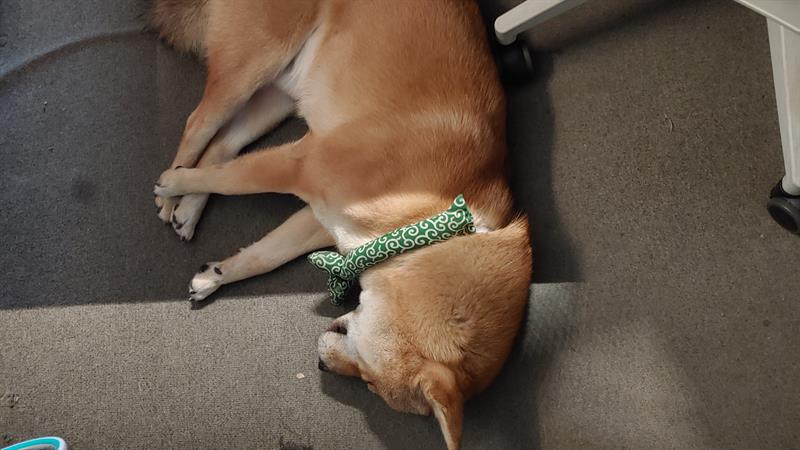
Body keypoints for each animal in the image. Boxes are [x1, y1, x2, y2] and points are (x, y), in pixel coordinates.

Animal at [149, 1, 532, 448]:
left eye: (368, 382)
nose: (320, 366)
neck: (433, 221)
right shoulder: (303, 165)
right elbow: (233, 181)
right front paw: (177, 183)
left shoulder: (322, 217)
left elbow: (265, 255)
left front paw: (216, 276)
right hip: (253, 63)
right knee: (199, 126)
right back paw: (171, 189)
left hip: (276, 94)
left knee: (223, 146)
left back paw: (188, 209)